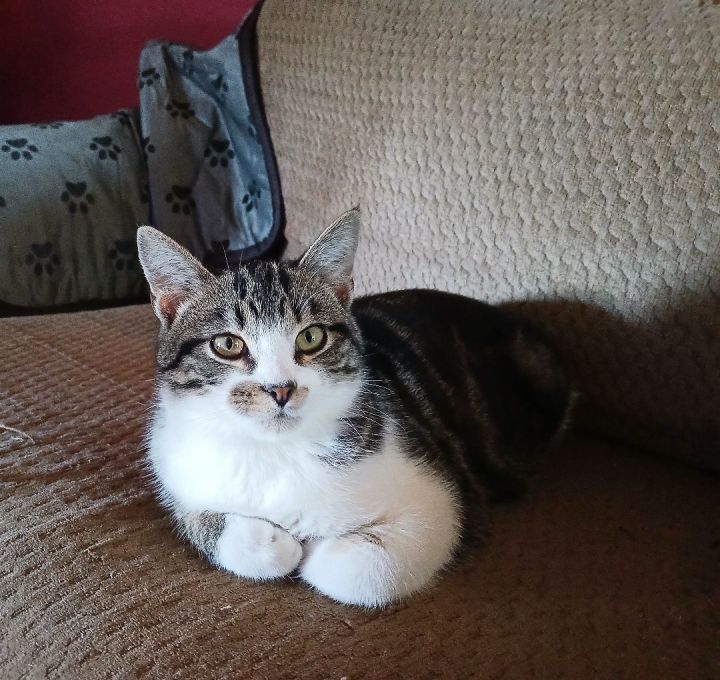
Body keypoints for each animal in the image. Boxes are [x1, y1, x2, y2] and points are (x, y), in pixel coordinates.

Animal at [138, 210, 572, 608]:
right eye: (227, 344)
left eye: (311, 337)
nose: (281, 390)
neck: (276, 452)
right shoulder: (176, 466)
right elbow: (198, 520)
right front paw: (274, 543)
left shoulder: (447, 500)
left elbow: (360, 569)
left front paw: (315, 548)